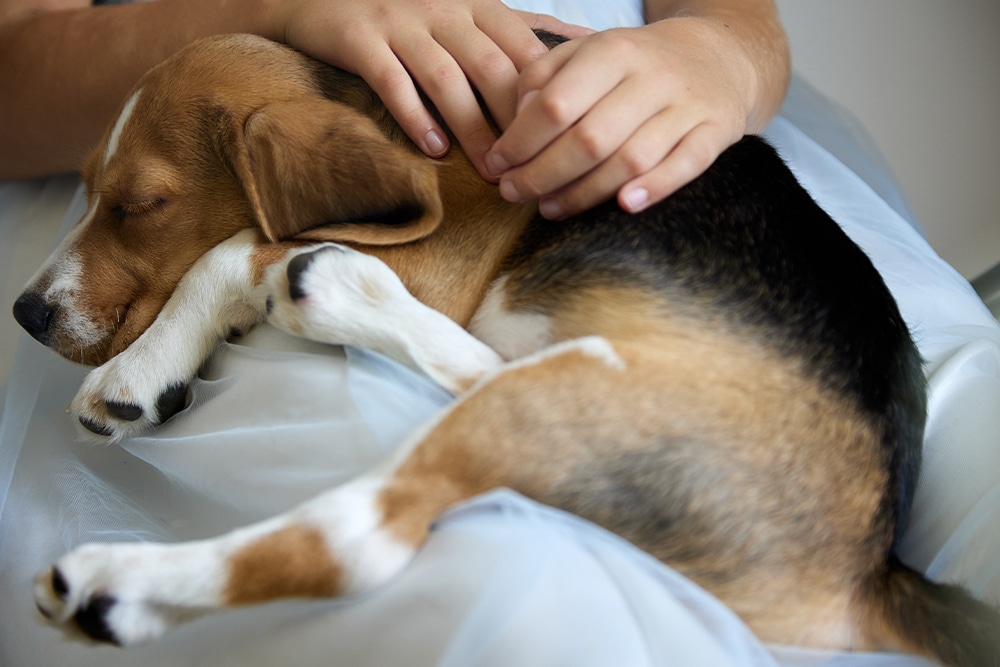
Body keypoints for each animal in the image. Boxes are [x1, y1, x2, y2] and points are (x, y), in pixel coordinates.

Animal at [11, 31, 996, 664]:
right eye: (87, 189)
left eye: (141, 204)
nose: (24, 312)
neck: (386, 111)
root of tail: (870, 570)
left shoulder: (436, 253)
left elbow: (226, 251)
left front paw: (139, 370)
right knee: (472, 364)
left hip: (579, 395)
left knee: (355, 539)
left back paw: (117, 580)